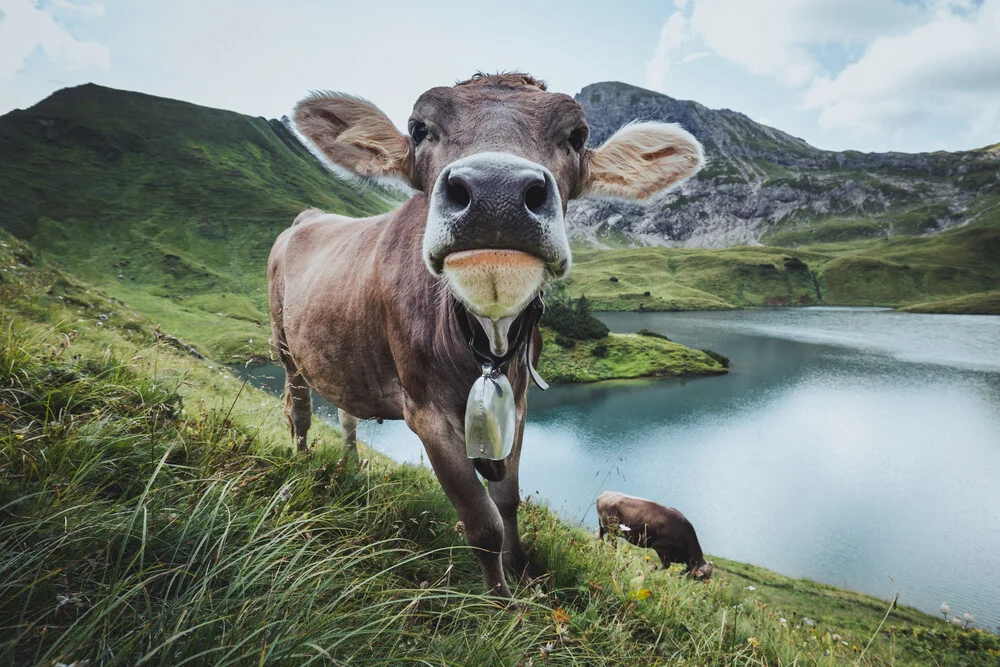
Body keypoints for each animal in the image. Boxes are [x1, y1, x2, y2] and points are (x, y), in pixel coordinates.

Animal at [266, 73, 704, 596]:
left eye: (577, 135)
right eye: (419, 128)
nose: (497, 192)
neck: (488, 347)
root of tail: (308, 216)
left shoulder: (519, 404)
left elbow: (508, 503)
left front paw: (523, 574)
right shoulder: (427, 415)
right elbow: (482, 523)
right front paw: (500, 602)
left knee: (347, 418)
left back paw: (352, 468)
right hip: (285, 345)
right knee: (299, 410)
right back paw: (302, 462)